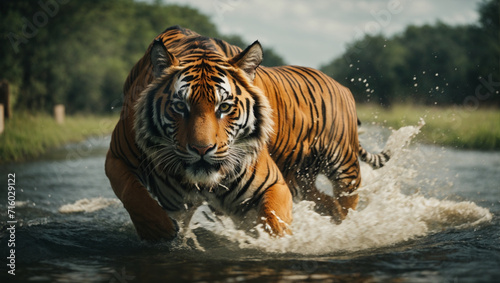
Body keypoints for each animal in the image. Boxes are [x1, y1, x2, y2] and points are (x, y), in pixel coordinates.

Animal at [104, 26, 390, 242]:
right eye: (179, 107)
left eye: (224, 107)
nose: (201, 149)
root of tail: (341, 86)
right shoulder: (117, 158)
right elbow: (136, 196)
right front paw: (161, 231)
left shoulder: (271, 183)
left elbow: (275, 221)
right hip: (302, 181)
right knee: (330, 204)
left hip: (345, 168)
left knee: (347, 203)